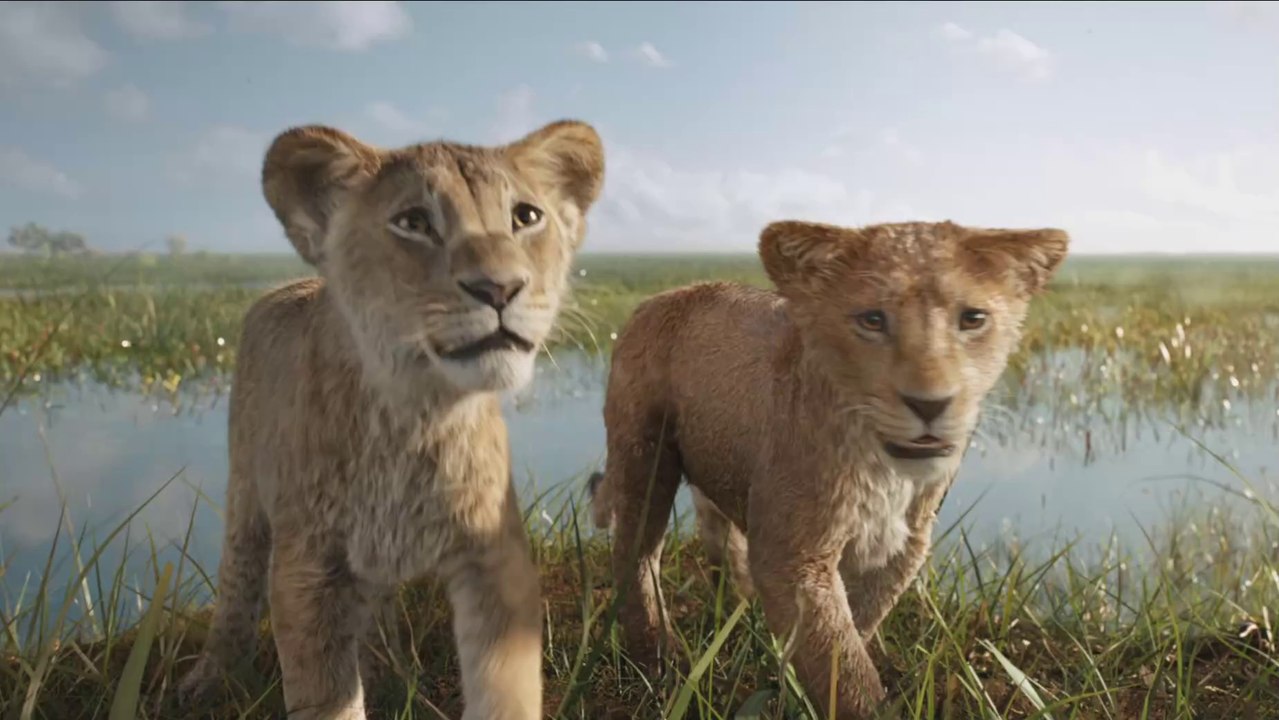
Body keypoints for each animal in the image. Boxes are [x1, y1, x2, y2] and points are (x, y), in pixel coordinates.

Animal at [179, 120, 604, 720]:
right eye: (414, 223)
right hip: (245, 493)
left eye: (525, 217)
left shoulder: (495, 555)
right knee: (236, 584)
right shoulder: (307, 574)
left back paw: (391, 676)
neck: (417, 415)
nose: (499, 288)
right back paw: (207, 679)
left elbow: (506, 685)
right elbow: (326, 696)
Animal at [589, 220, 1068, 718]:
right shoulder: (792, 555)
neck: (884, 470)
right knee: (636, 551)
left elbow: (854, 629)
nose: (930, 405)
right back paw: (658, 664)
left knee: (721, 536)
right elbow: (841, 662)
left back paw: (737, 606)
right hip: (643, 455)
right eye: (872, 320)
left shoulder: (902, 547)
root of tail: (659, 297)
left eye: (973, 319)